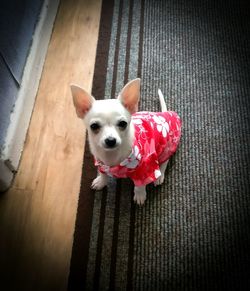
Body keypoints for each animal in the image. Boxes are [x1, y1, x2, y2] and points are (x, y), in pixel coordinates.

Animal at [71, 77, 182, 205]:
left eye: (123, 123)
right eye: (94, 126)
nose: (110, 140)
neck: (112, 155)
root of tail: (164, 114)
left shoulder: (144, 169)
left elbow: (140, 185)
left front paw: (140, 195)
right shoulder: (101, 164)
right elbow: (103, 174)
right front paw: (101, 181)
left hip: (166, 147)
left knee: (164, 162)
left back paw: (159, 176)